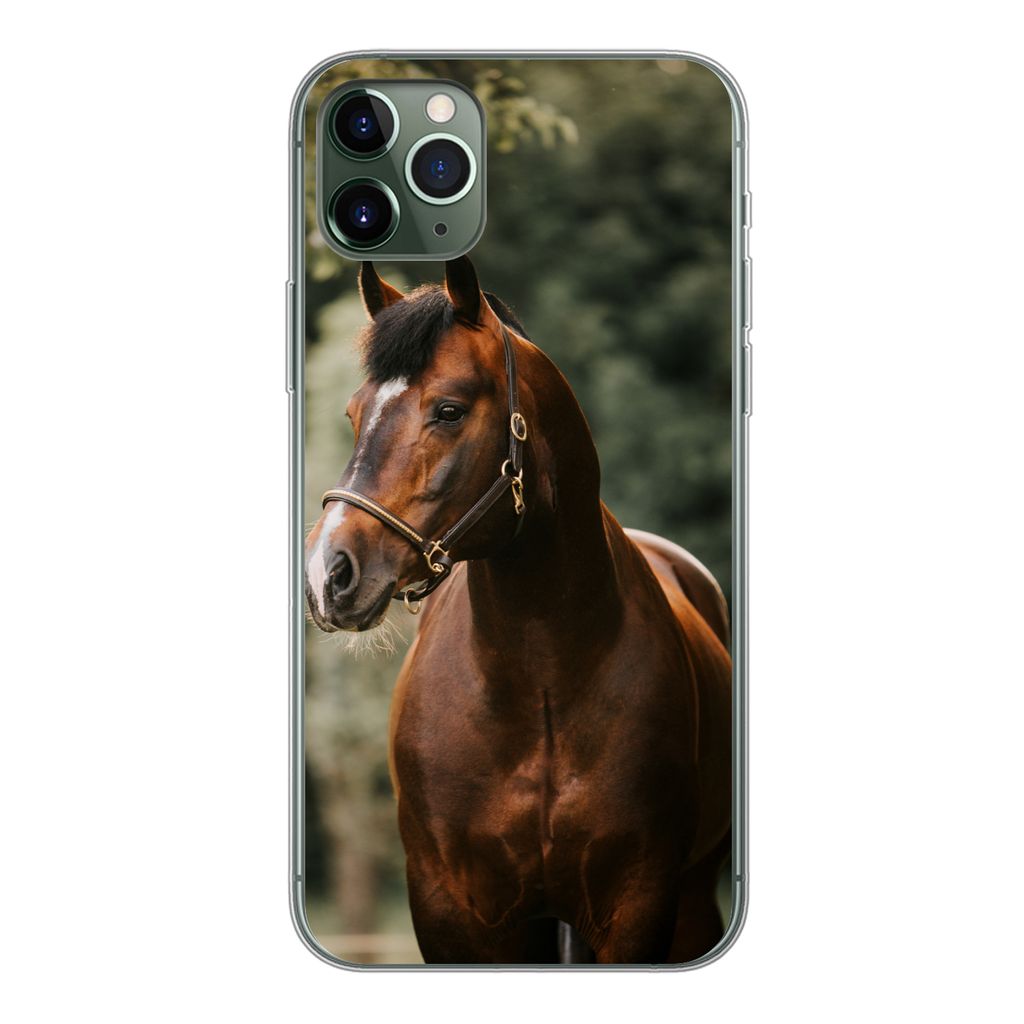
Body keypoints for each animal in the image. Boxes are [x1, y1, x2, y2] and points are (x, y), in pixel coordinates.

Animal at [304, 257, 732, 965]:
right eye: (353, 412)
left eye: (449, 410)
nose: (327, 573)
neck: (541, 684)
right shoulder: (451, 911)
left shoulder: (639, 902)